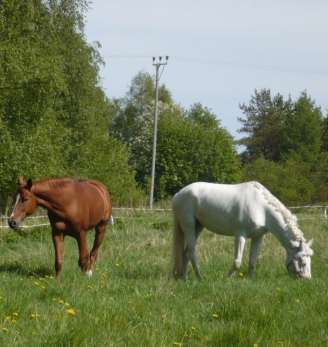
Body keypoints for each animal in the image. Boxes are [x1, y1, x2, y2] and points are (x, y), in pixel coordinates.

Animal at [170, 182, 314, 280]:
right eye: (302, 262)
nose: (307, 279)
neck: (261, 208)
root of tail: (178, 194)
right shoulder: (240, 235)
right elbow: (237, 261)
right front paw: (228, 278)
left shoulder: (258, 237)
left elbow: (252, 261)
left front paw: (249, 280)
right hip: (189, 226)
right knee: (192, 252)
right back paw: (200, 278)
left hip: (198, 227)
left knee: (185, 253)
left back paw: (184, 278)